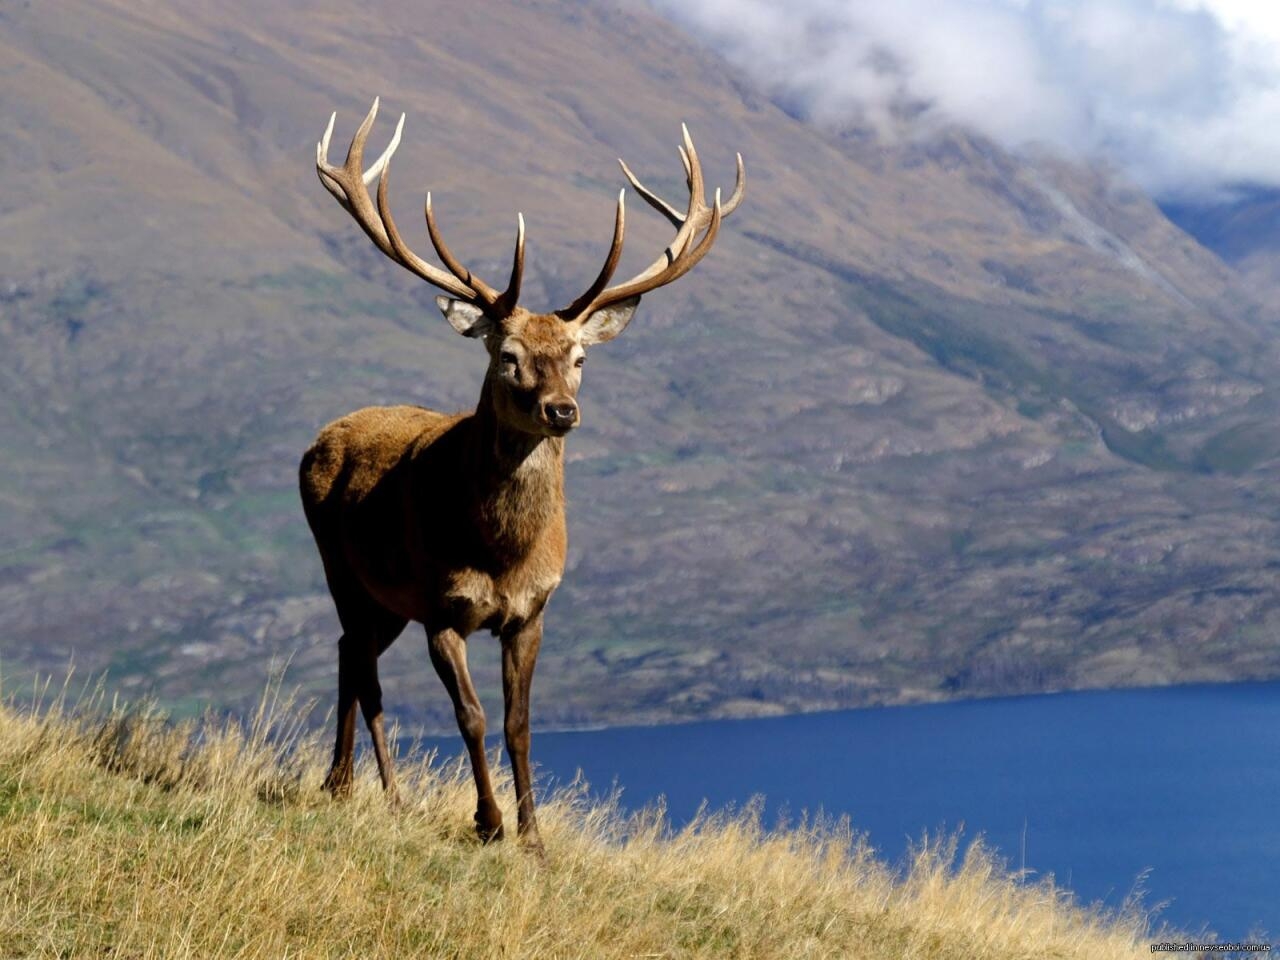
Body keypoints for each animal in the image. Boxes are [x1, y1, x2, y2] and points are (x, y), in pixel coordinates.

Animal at [296, 96, 742, 849]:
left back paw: (375, 791)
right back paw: (349, 784)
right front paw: (489, 820)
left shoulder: (533, 610)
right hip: (343, 568)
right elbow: (471, 716)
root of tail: (320, 439)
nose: (562, 410)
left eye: (579, 357)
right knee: (355, 656)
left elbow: (519, 723)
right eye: (508, 356)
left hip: (386, 599)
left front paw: (533, 836)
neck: (501, 554)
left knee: (357, 657)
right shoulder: (440, 605)